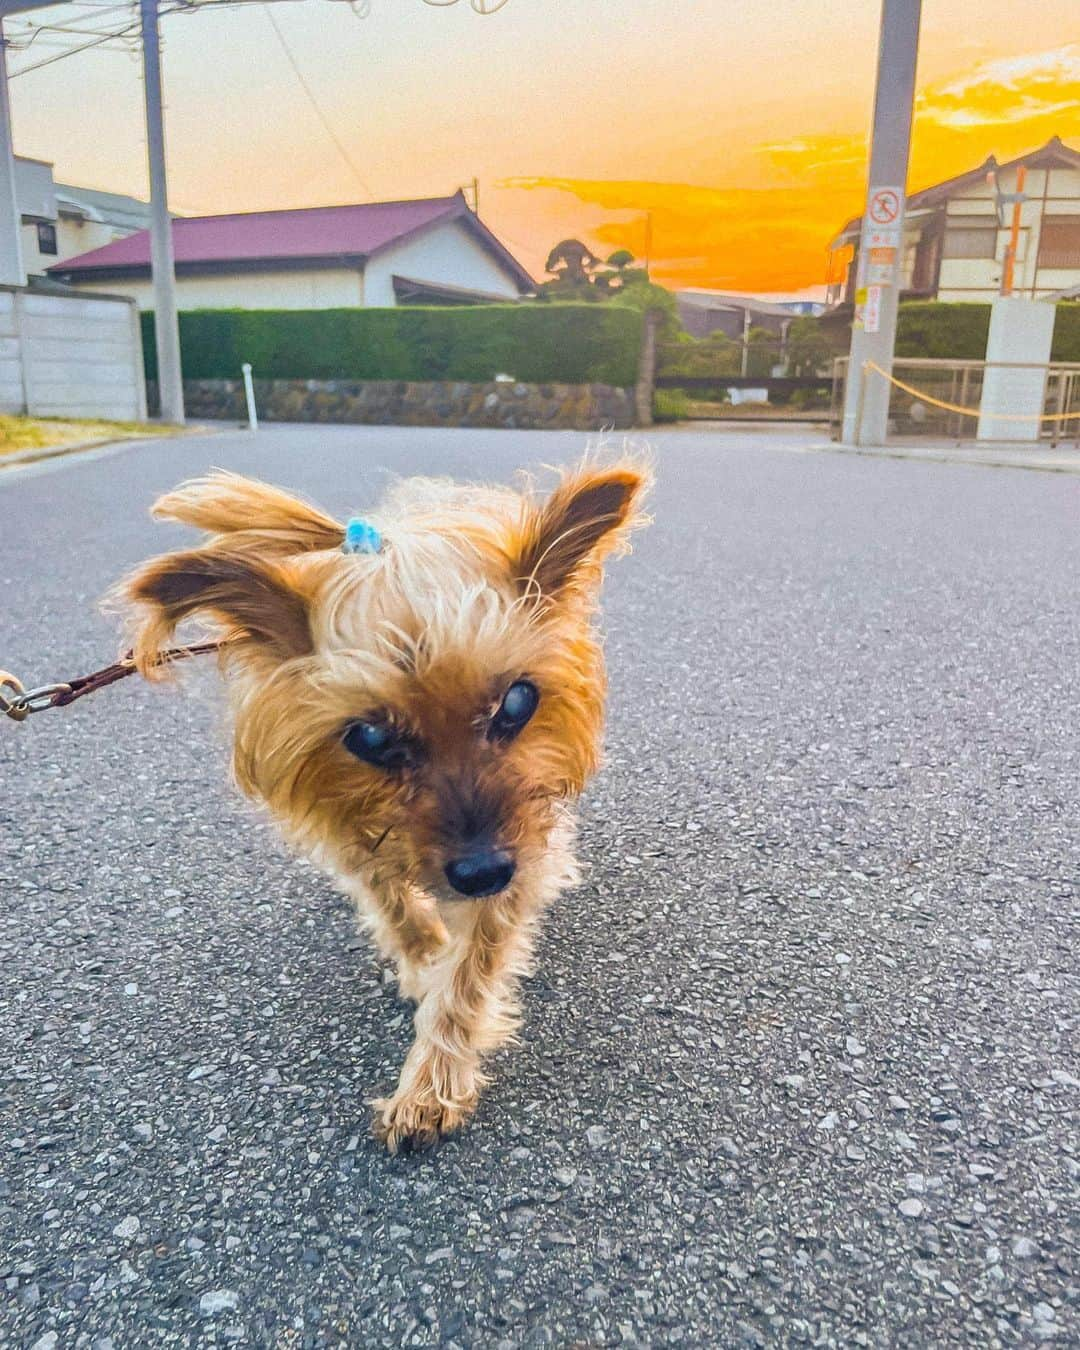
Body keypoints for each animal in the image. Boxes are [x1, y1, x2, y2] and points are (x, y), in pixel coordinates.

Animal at [121, 461, 650, 1150]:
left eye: (517, 702)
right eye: (370, 738)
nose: (481, 872)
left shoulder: (519, 847)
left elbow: (470, 973)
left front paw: (430, 1083)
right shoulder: (352, 829)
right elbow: (393, 904)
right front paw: (423, 961)